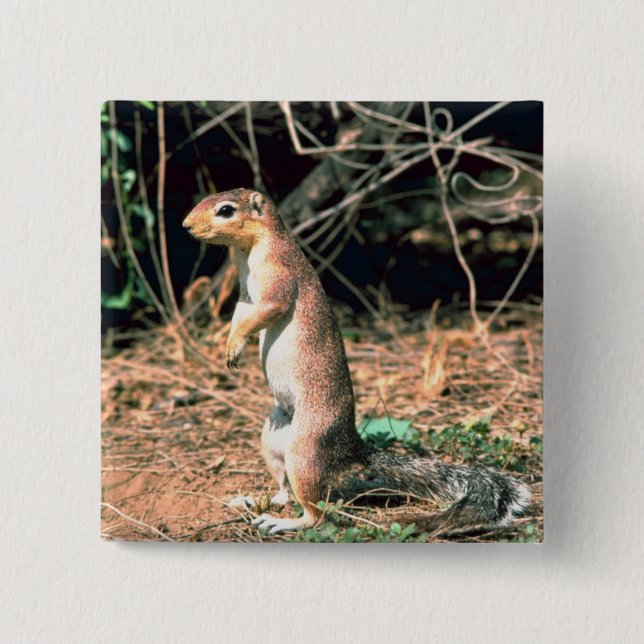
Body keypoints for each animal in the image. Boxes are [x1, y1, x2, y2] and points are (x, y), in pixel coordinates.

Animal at [182, 188, 531, 535]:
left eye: (226, 210)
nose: (186, 226)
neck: (252, 249)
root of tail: (350, 448)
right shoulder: (244, 294)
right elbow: (240, 314)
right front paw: (228, 344)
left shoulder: (278, 274)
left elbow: (268, 308)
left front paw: (235, 345)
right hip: (272, 439)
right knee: (285, 490)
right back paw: (256, 501)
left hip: (305, 452)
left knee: (316, 513)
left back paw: (283, 521)